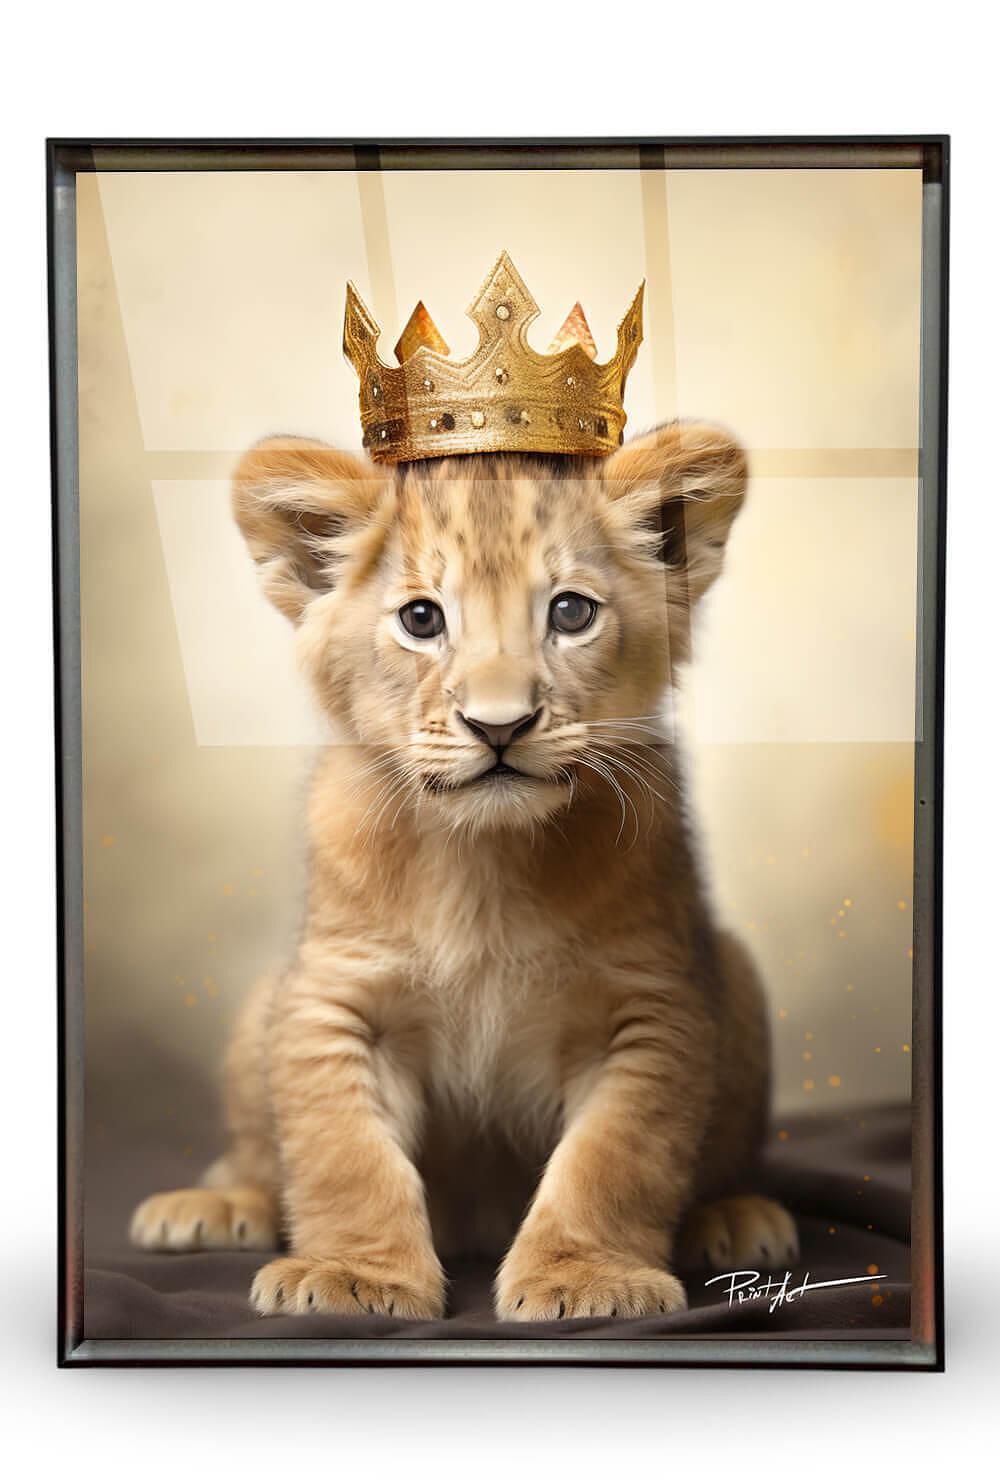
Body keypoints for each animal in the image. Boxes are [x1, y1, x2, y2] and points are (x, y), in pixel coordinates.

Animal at [129, 421, 797, 1321]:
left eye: (570, 612)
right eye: (422, 618)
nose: (500, 724)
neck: (483, 858)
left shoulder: (651, 1007)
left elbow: (611, 1159)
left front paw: (586, 1278)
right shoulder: (334, 998)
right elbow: (346, 1156)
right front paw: (354, 1274)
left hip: (737, 974)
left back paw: (735, 1216)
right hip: (258, 1010)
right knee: (259, 1156)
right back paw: (213, 1205)